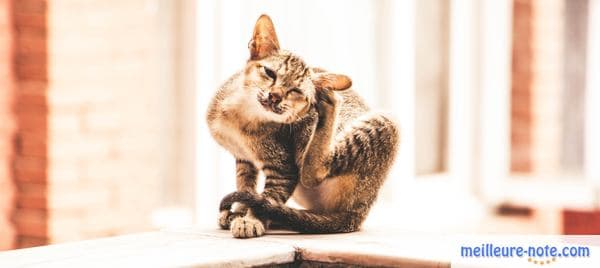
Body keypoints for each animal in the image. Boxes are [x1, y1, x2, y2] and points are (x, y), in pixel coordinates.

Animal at [206, 14, 398, 238]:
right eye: (270, 73)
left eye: (295, 91)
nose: (275, 96)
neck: (242, 117)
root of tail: (359, 212)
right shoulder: (244, 159)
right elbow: (246, 186)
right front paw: (242, 211)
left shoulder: (284, 168)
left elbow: (269, 196)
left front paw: (251, 220)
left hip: (384, 123)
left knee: (311, 173)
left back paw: (329, 99)